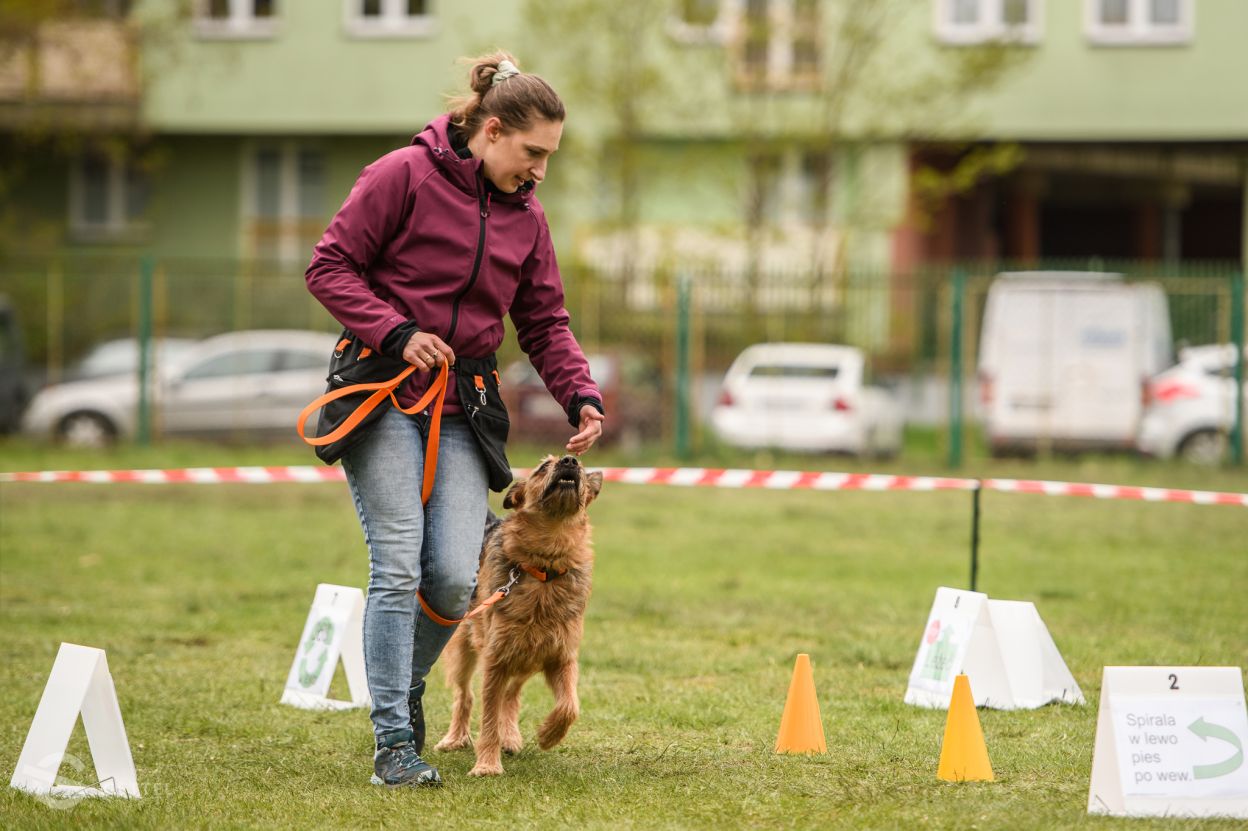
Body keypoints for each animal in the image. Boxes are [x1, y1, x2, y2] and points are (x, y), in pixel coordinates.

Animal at [431, 454, 601, 768]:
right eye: (543, 467)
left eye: (581, 468)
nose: (570, 460)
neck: (545, 567)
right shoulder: (495, 658)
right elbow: (488, 715)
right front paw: (487, 765)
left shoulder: (561, 656)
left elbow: (569, 705)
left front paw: (548, 735)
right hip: (465, 649)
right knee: (465, 695)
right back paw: (455, 738)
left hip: (527, 654)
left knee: (511, 695)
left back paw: (509, 735)